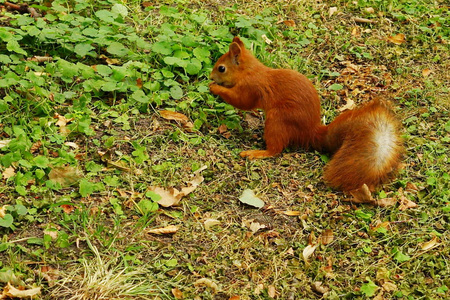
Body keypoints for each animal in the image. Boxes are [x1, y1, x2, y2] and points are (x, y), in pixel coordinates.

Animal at [209, 37, 402, 192]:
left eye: (221, 68)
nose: (210, 77)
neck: (250, 70)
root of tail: (310, 132)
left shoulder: (251, 86)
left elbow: (242, 101)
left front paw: (215, 88)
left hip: (277, 120)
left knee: (275, 150)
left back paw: (257, 152)